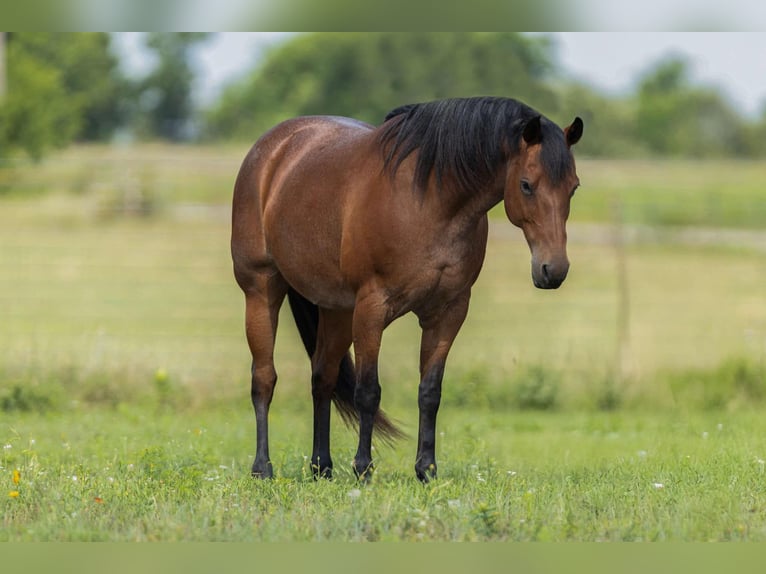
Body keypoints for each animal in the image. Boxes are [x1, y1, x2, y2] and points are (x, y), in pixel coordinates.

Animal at [231, 96, 583, 482]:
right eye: (526, 185)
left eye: (573, 187)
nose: (553, 270)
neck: (429, 202)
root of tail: (273, 149)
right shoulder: (372, 308)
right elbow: (368, 391)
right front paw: (363, 468)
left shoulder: (448, 312)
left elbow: (430, 391)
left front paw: (426, 469)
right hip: (262, 290)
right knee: (264, 378)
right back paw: (262, 467)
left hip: (337, 309)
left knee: (322, 376)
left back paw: (321, 467)